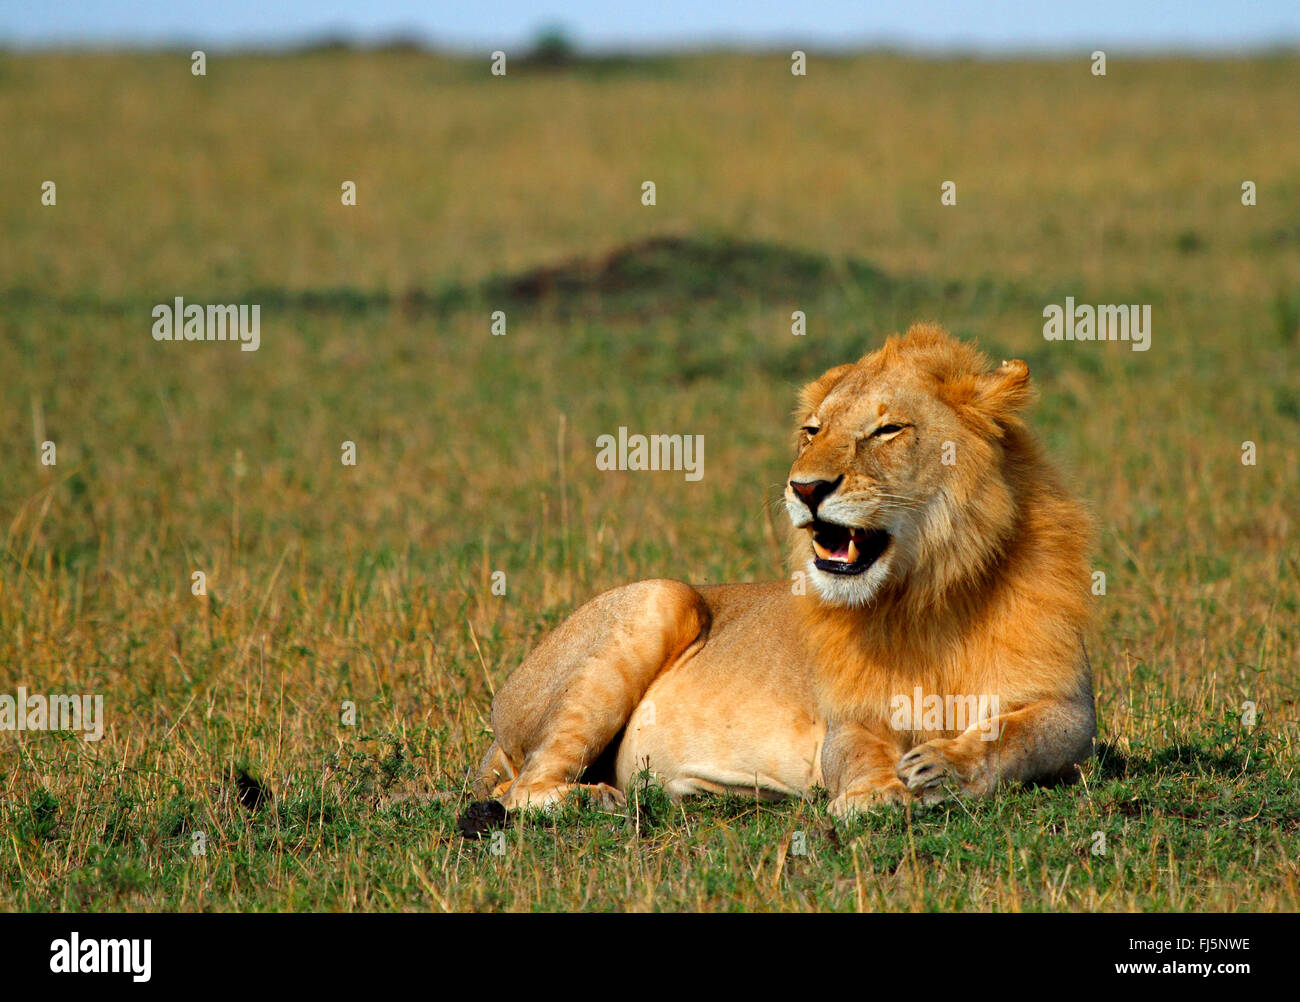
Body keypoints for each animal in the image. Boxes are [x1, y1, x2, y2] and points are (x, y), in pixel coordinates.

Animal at [460, 323, 1096, 830]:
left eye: (887, 430)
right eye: (813, 432)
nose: (806, 488)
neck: (927, 592)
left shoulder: (1070, 708)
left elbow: (1014, 735)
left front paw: (944, 767)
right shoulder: (849, 716)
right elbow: (858, 752)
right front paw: (872, 796)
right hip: (661, 598)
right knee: (521, 789)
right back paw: (596, 801)